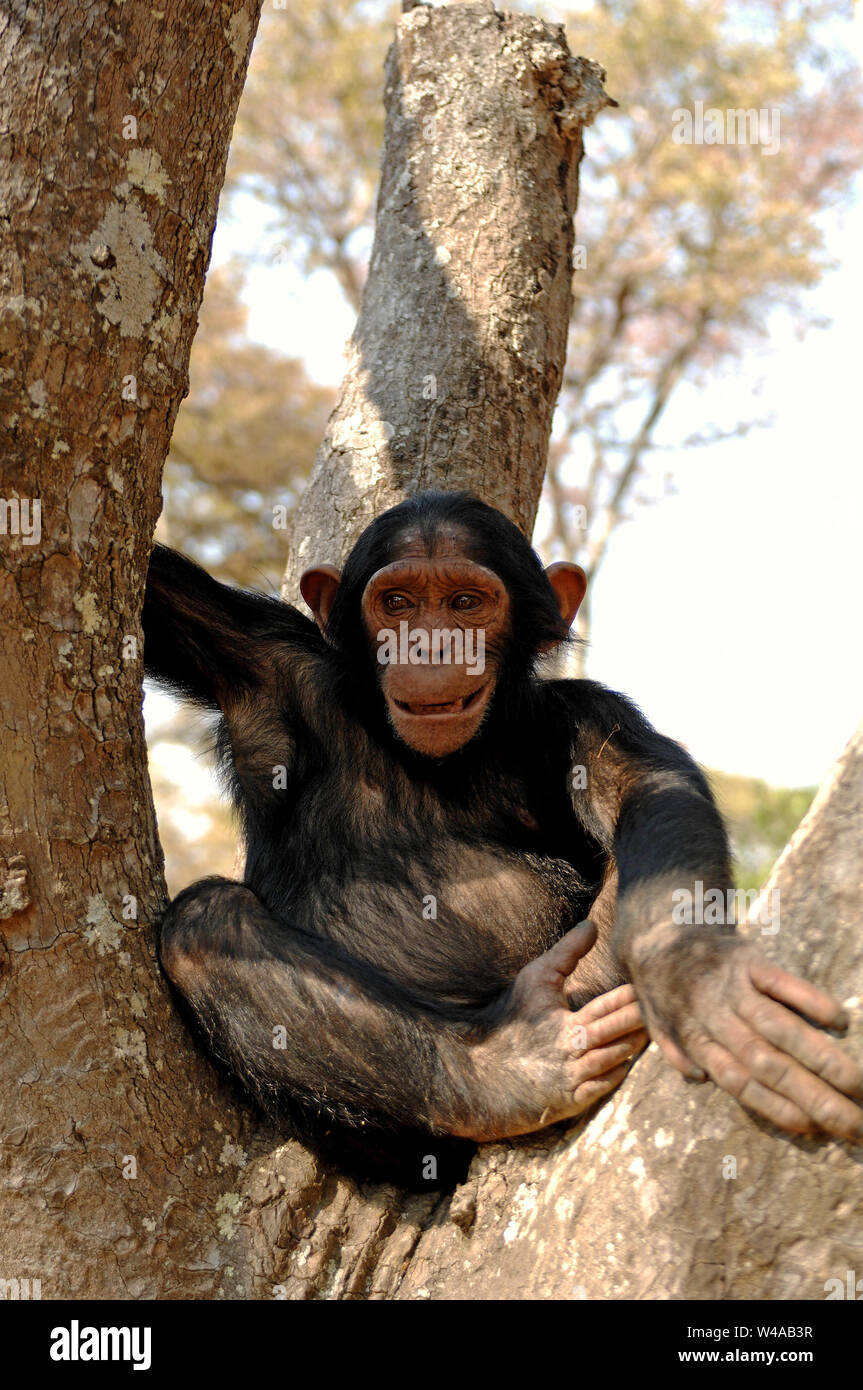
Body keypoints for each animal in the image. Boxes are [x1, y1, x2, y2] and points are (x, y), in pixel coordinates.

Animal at [144, 492, 861, 1184]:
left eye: (465, 603)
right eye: (397, 603)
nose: (429, 646)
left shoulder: (586, 716)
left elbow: (648, 787)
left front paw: (691, 967)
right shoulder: (261, 660)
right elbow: (160, 599)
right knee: (208, 924)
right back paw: (500, 1072)